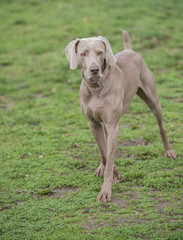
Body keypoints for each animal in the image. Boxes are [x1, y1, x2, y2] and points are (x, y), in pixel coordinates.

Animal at [65, 31, 177, 202]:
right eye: (83, 53)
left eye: (100, 52)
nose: (94, 69)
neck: (96, 88)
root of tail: (130, 50)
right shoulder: (94, 124)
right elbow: (104, 152)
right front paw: (112, 172)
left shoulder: (113, 126)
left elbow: (109, 156)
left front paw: (106, 190)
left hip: (152, 99)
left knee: (161, 125)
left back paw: (169, 151)